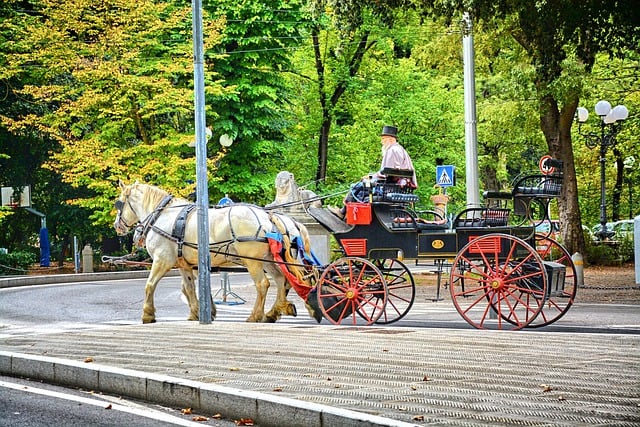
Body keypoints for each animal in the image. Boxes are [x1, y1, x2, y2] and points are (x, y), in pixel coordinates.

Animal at [114, 181, 318, 324]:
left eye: (119, 204)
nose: (117, 226)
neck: (163, 216)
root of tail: (268, 216)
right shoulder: (185, 265)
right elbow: (189, 288)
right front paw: (199, 312)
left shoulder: (162, 260)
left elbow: (150, 285)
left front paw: (148, 314)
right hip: (270, 260)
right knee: (282, 281)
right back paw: (273, 312)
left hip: (254, 262)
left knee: (263, 284)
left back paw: (256, 315)